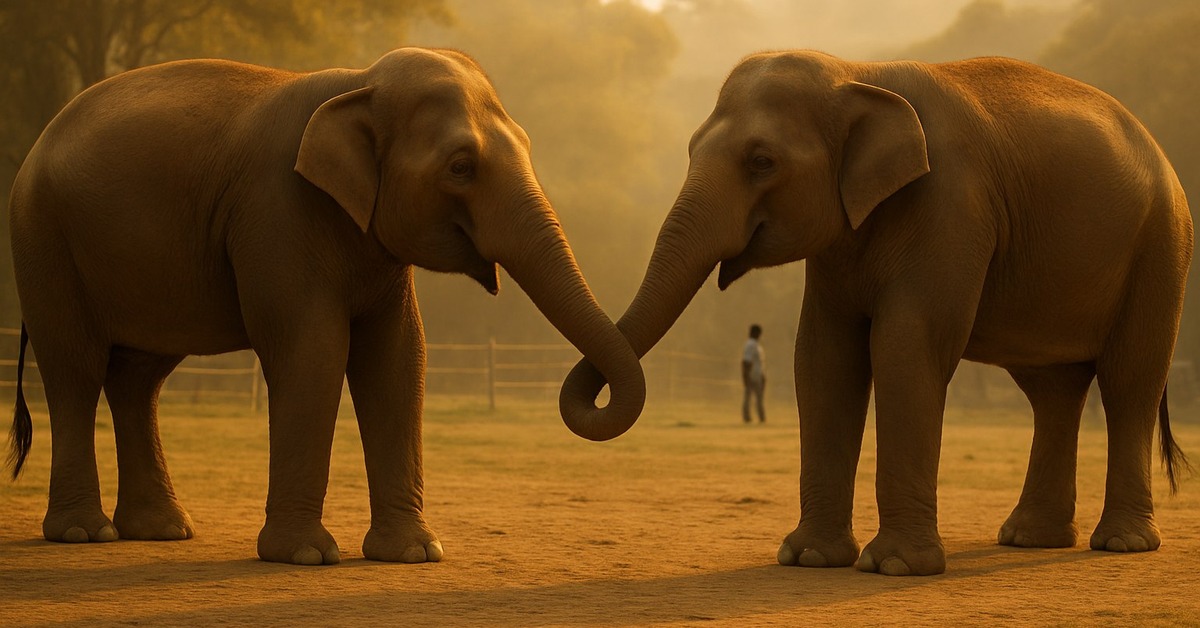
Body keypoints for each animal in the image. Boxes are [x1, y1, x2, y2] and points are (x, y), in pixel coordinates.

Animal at [6, 47, 645, 566]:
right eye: (461, 167)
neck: (358, 82)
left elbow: (398, 357)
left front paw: (415, 554)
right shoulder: (278, 209)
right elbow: (313, 350)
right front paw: (307, 557)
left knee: (139, 379)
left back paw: (163, 531)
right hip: (43, 239)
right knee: (75, 370)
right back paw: (84, 535)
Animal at [561, 51, 1193, 576]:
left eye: (762, 161)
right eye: (692, 150)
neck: (858, 72)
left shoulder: (950, 208)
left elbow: (906, 344)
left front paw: (893, 568)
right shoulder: (843, 239)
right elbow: (823, 355)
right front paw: (809, 559)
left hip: (1161, 247)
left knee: (1129, 379)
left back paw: (1121, 545)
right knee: (1053, 391)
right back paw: (1027, 538)